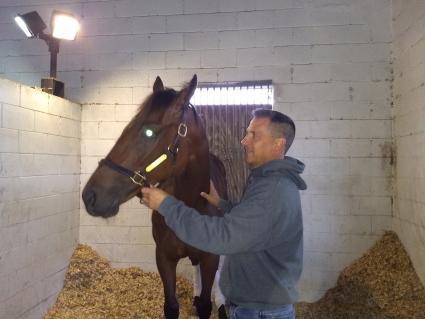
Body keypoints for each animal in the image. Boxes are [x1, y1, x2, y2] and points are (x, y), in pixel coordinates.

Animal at [82, 75, 229, 319]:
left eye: (149, 132)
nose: (89, 196)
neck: (189, 206)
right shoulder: (164, 258)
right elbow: (171, 306)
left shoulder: (211, 259)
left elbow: (206, 305)